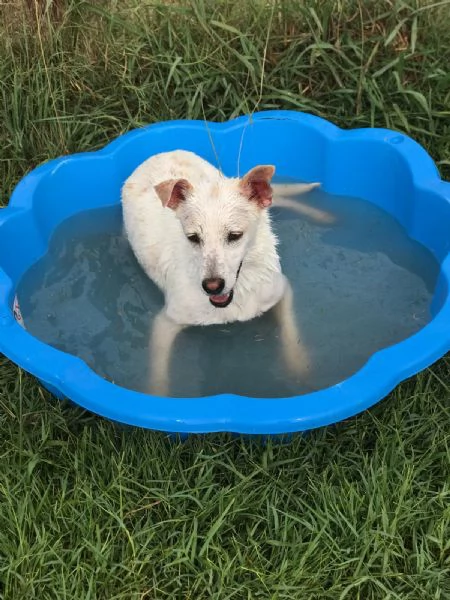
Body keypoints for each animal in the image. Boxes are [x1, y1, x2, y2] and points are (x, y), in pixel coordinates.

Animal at [121, 150, 332, 396]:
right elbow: (158, 374)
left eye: (235, 235)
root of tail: (163, 152)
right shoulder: (165, 322)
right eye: (193, 238)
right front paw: (157, 395)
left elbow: (291, 331)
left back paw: (322, 215)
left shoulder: (281, 291)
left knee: (279, 198)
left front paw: (298, 364)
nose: (212, 286)